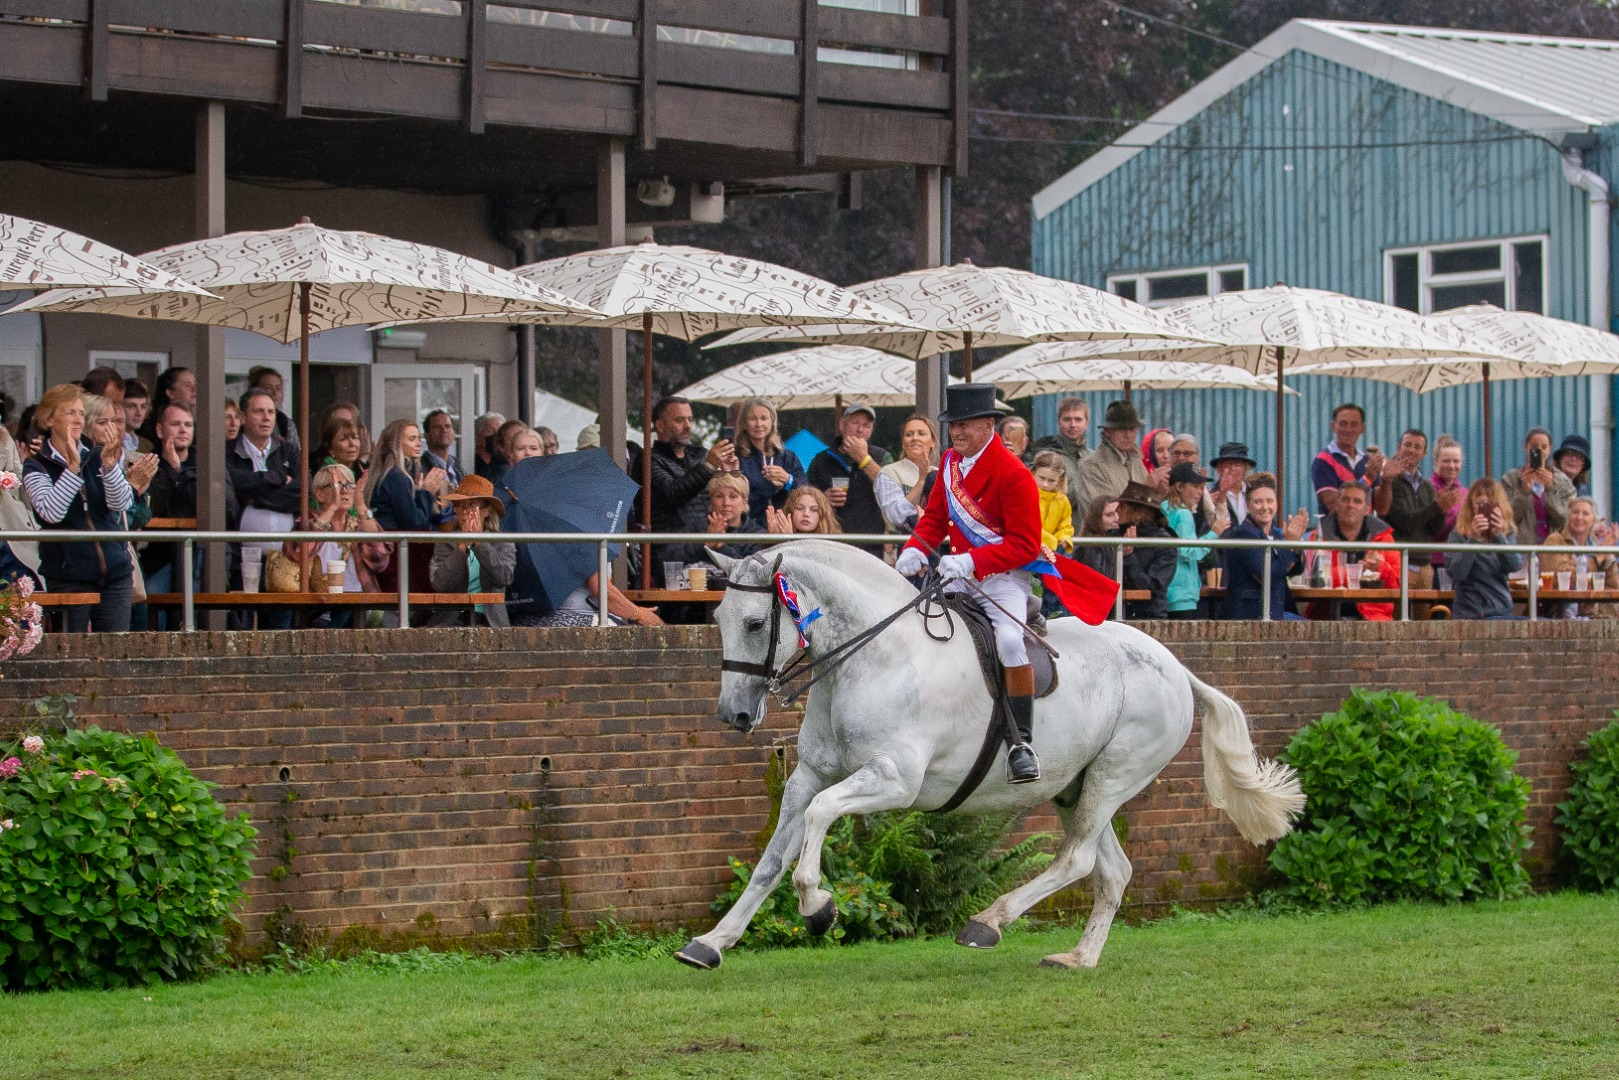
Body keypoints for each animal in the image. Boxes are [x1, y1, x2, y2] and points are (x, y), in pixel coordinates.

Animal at [673, 539, 1305, 972]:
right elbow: (774, 856)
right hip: (1076, 788)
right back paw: (1078, 958)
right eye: (716, 619)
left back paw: (988, 923)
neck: (874, 655)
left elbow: (820, 815)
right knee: (1111, 870)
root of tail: (1176, 667)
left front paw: (817, 905)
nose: (734, 715)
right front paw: (711, 943)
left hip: (1114, 776)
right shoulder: (808, 775)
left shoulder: (893, 779)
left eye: (756, 621)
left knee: (1076, 861)